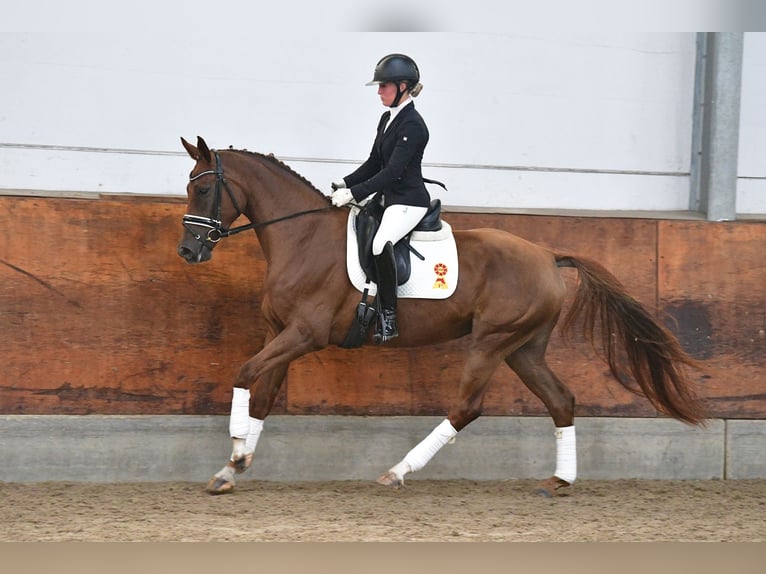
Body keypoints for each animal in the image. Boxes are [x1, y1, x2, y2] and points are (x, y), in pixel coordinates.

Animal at [177, 137, 704, 498]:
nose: (188, 252)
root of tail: (547, 255)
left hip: (491, 342)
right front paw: (231, 468)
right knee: (561, 399)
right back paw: (559, 480)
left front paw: (236, 454)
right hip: (523, 348)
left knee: (467, 407)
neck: (302, 238)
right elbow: (262, 395)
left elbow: (244, 373)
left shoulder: (305, 334)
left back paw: (398, 472)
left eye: (203, 191)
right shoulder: (281, 332)